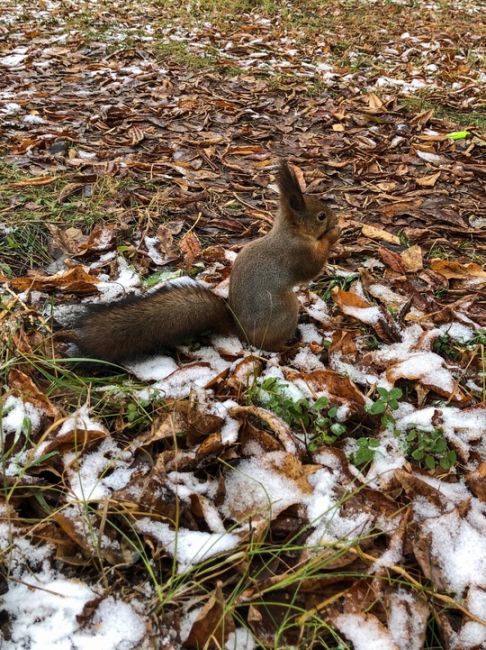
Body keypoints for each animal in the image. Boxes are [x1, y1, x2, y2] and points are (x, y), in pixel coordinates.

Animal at [63, 157, 338, 360]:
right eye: (321, 216)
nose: (334, 219)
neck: (290, 231)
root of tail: (242, 332)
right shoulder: (296, 253)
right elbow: (311, 268)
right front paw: (332, 236)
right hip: (285, 310)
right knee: (269, 346)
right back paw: (289, 347)